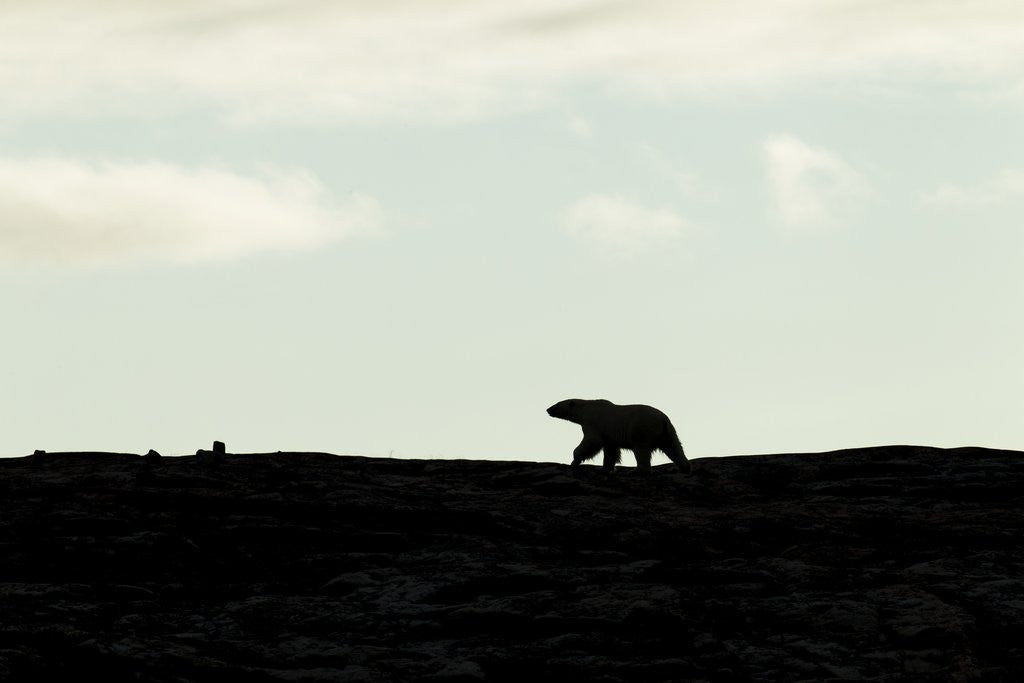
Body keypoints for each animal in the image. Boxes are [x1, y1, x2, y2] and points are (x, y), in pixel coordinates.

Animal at [547, 398, 690, 474]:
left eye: (557, 404)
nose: (548, 409)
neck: (586, 408)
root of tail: (663, 420)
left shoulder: (593, 422)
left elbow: (592, 441)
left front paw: (574, 461)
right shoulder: (609, 435)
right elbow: (610, 450)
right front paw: (604, 469)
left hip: (641, 428)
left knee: (641, 449)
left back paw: (637, 471)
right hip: (668, 432)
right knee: (674, 448)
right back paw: (685, 468)